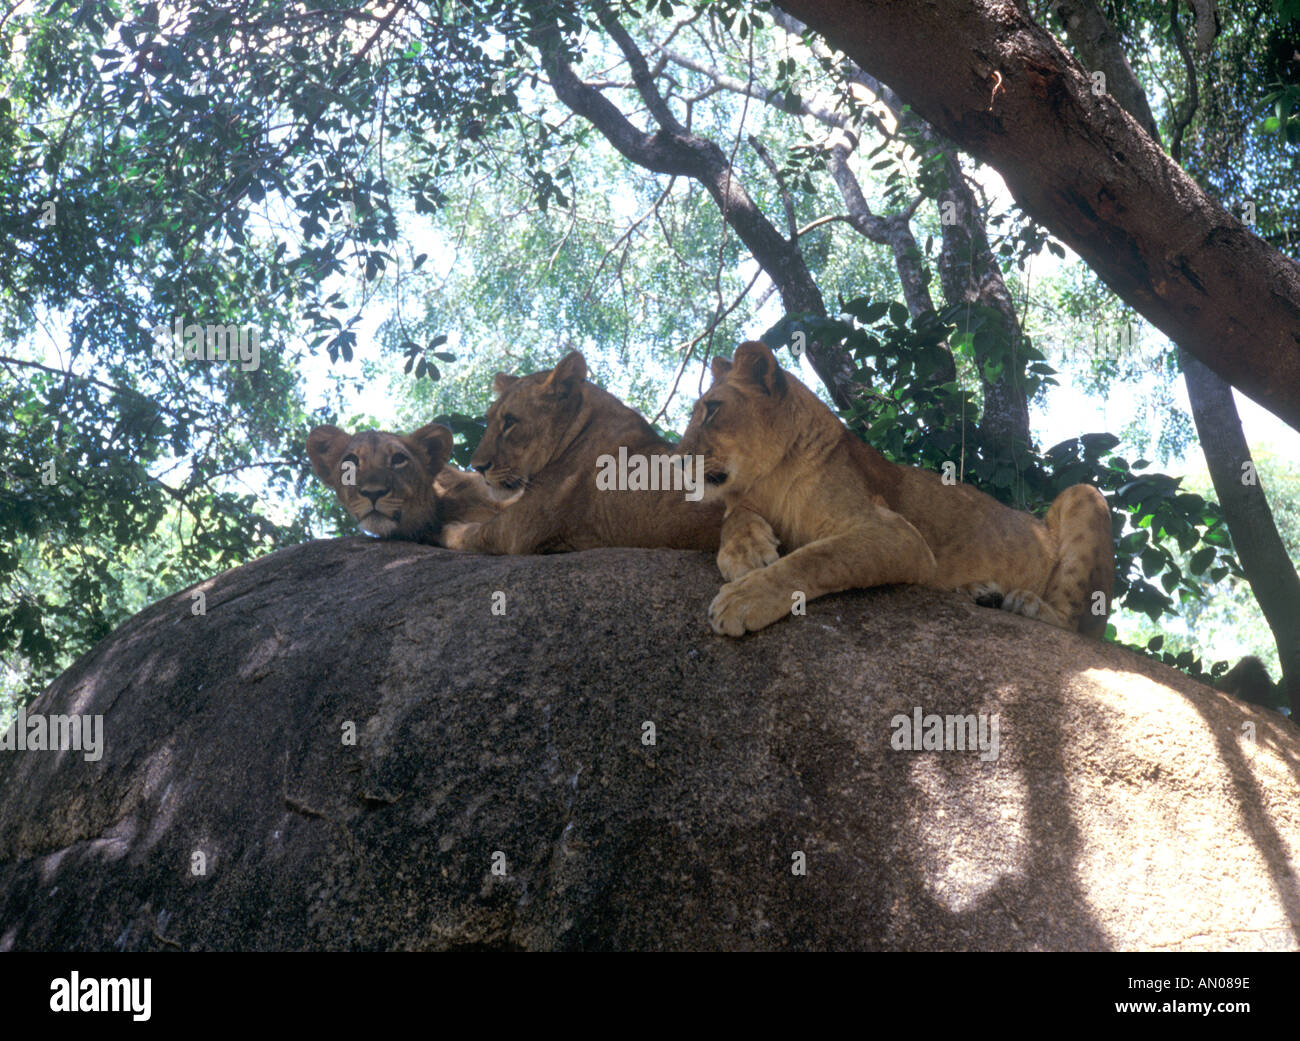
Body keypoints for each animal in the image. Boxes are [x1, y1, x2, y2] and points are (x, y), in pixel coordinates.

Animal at [440, 351, 778, 574]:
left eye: (510, 422)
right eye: (488, 420)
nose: (478, 465)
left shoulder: (521, 530)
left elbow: (475, 532)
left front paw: (445, 526)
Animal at [679, 340, 1116, 638]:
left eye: (712, 409)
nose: (678, 459)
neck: (767, 481)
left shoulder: (897, 534)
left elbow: (815, 558)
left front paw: (741, 598)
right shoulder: (744, 501)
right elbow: (733, 517)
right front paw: (745, 551)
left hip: (1083, 495)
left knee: (1073, 624)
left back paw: (1025, 604)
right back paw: (982, 592)